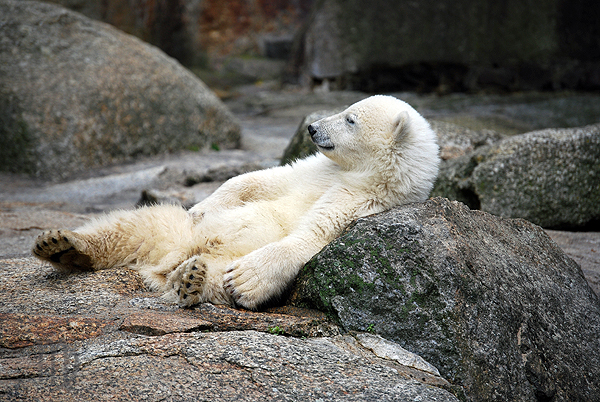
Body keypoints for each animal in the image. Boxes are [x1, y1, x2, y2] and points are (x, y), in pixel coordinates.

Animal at [32, 96, 440, 310]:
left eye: (350, 119)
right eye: (348, 109)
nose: (312, 128)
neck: (357, 174)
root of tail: (169, 258)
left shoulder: (361, 201)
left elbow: (312, 234)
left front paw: (249, 278)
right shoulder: (320, 171)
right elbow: (263, 180)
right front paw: (205, 205)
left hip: (210, 257)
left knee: (214, 278)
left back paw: (190, 281)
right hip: (172, 229)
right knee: (131, 227)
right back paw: (60, 244)